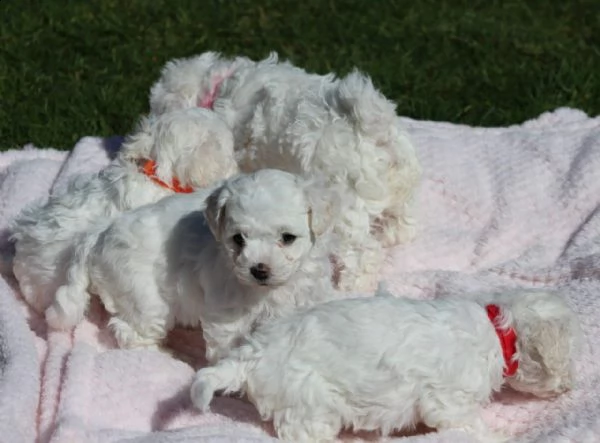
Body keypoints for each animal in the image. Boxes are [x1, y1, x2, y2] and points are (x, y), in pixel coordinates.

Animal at [45, 170, 342, 364]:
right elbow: (228, 346)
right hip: (144, 299)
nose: (259, 270)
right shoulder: (227, 314)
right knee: (129, 331)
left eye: (287, 238)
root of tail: (98, 236)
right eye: (238, 239)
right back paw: (170, 354)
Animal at [192, 288, 580, 440]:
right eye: (568, 357)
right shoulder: (450, 399)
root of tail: (252, 352)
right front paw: (499, 435)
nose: (572, 386)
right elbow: (468, 423)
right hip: (309, 404)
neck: (498, 334)